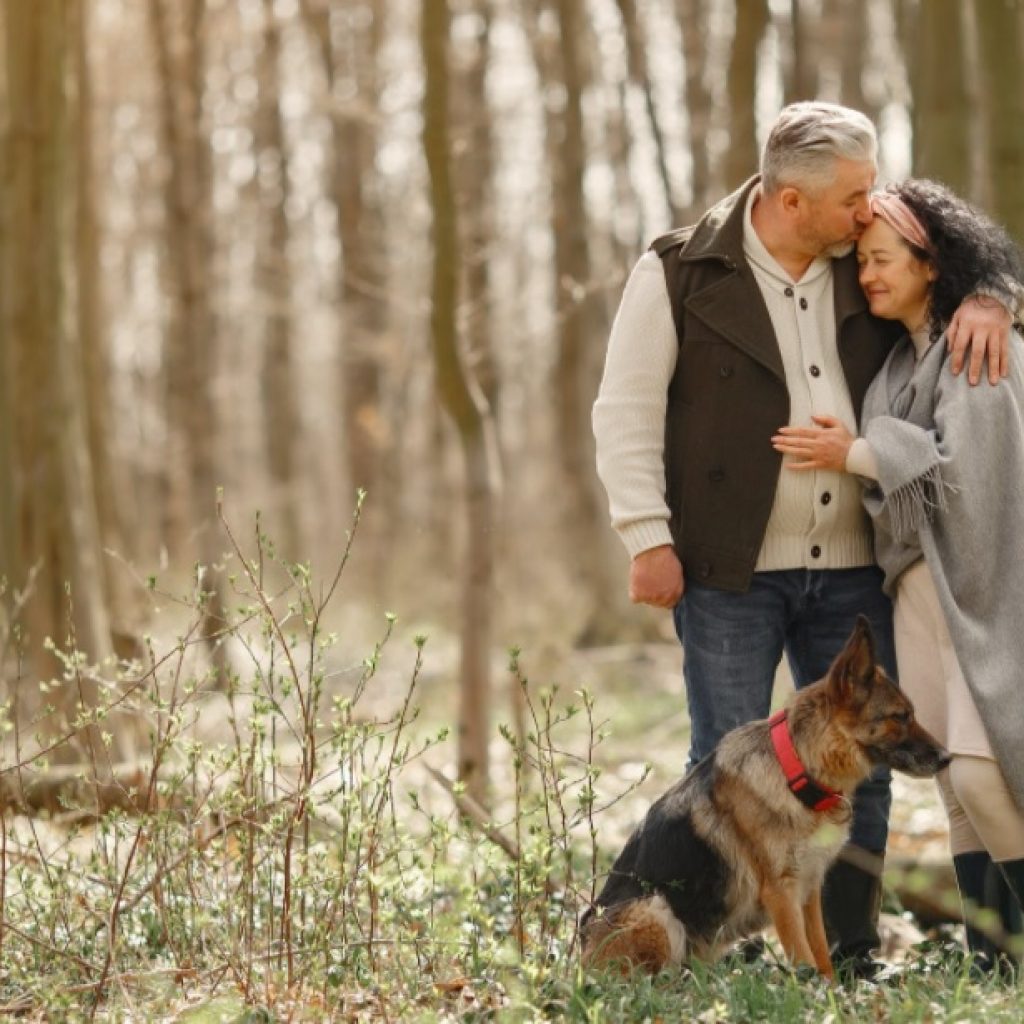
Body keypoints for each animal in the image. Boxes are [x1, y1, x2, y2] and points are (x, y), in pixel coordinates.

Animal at [581, 610, 946, 978]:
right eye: (900, 717)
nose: (947, 758)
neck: (796, 769)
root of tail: (579, 958)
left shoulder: (808, 889)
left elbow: (820, 953)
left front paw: (831, 989)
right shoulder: (781, 892)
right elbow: (803, 958)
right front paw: (811, 988)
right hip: (655, 909)